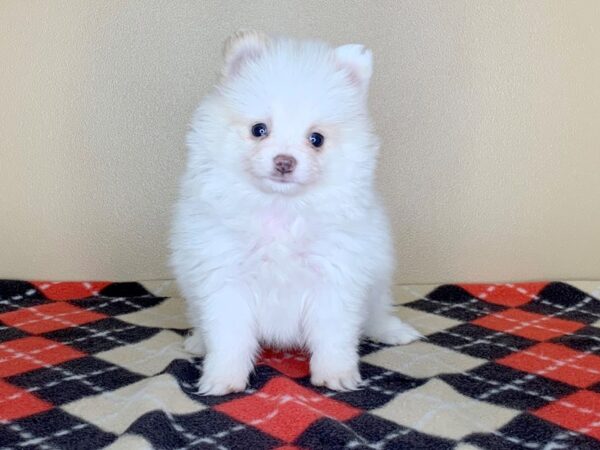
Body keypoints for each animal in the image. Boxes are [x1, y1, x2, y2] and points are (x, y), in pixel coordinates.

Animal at [171, 31, 420, 396]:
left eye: (316, 139)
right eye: (259, 130)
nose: (284, 162)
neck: (281, 208)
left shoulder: (335, 278)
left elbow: (334, 336)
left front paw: (335, 374)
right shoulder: (226, 278)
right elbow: (229, 337)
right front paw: (222, 378)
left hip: (376, 281)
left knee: (375, 314)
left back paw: (394, 330)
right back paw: (198, 341)